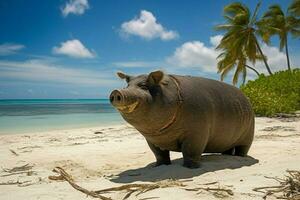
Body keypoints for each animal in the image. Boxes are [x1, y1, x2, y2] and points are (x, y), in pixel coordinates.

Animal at [109, 71, 254, 168]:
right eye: (127, 86)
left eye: (144, 86)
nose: (117, 91)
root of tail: (246, 98)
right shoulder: (151, 140)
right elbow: (159, 154)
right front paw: (160, 166)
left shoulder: (197, 134)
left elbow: (190, 151)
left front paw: (190, 168)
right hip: (228, 141)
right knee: (227, 150)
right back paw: (226, 156)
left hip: (248, 135)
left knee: (243, 149)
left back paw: (241, 157)